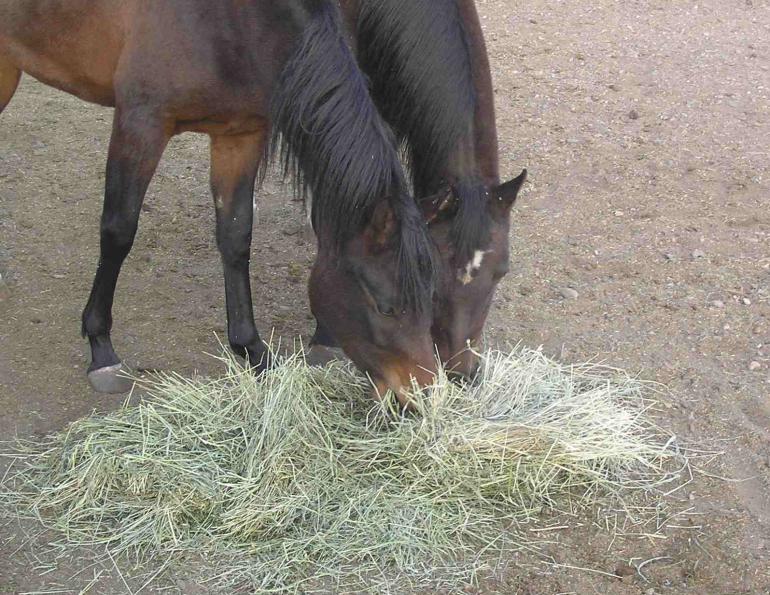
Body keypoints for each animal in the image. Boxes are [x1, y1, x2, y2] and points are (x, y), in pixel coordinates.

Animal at [0, 0, 437, 404]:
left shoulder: (239, 136)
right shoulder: (140, 125)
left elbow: (236, 235)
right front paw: (102, 349)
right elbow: (118, 231)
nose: (423, 391)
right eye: (386, 307)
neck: (226, 19)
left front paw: (253, 349)